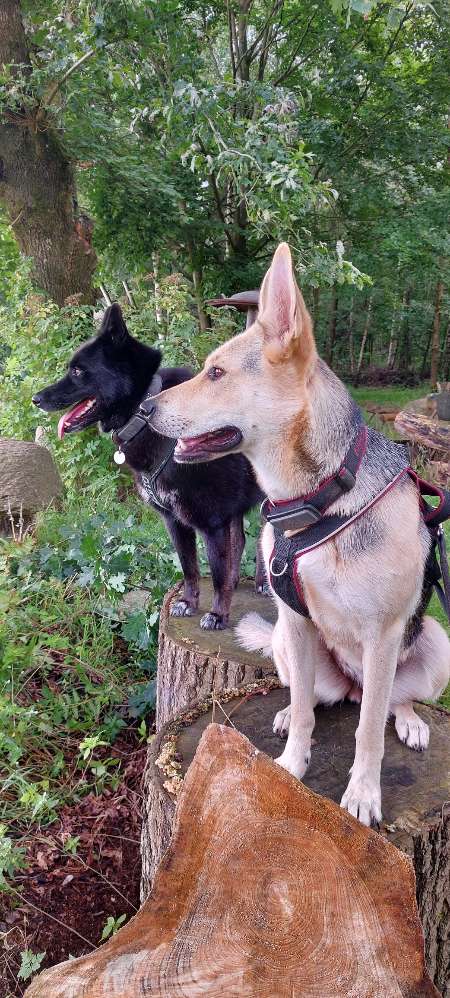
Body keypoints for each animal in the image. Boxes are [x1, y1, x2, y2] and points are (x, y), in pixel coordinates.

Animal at [33, 308, 266, 628]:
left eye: (78, 371)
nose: (36, 399)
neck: (143, 414)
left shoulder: (211, 522)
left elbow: (216, 574)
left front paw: (218, 614)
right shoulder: (175, 522)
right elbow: (189, 567)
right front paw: (188, 602)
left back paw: (263, 585)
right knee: (240, 542)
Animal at [149, 244, 450, 828]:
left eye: (216, 373)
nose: (143, 410)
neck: (318, 500)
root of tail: (351, 683)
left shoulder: (383, 635)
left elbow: (368, 733)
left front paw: (363, 793)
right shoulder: (293, 615)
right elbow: (315, 719)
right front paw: (291, 766)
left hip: (431, 644)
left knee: (385, 703)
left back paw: (408, 718)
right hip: (292, 645)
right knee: (315, 697)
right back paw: (292, 711)